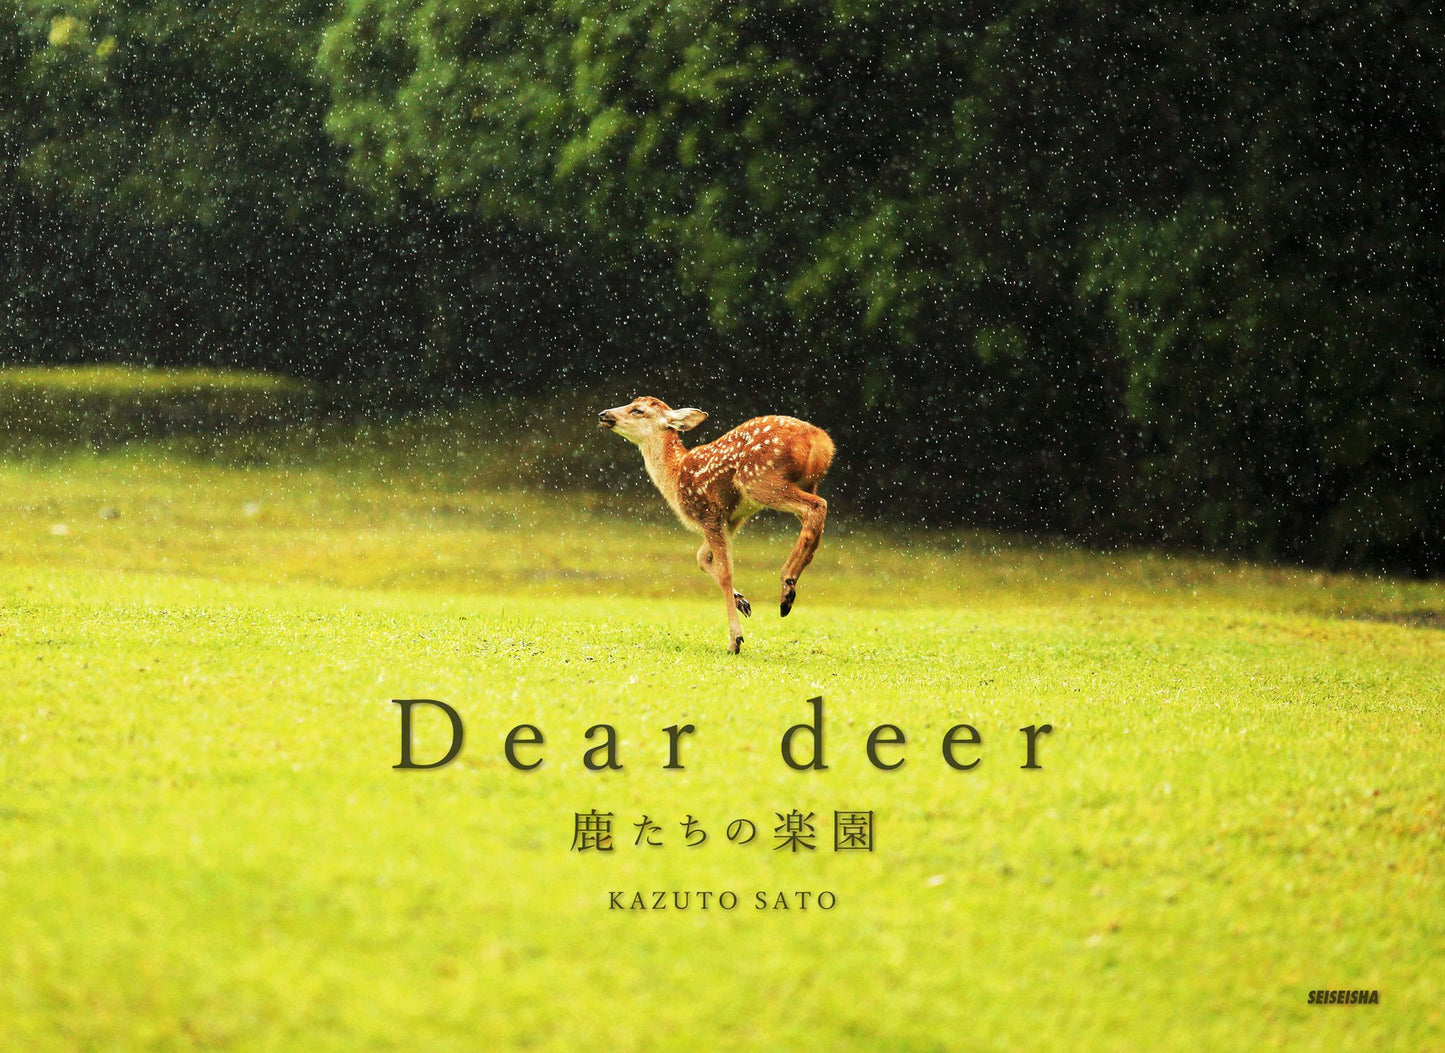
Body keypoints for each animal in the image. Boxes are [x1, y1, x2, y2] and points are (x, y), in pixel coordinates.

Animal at [598, 396, 834, 654]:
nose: (604, 414)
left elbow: (724, 573)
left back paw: (787, 584)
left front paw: (735, 640)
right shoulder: (731, 519)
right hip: (803, 482)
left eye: (638, 410)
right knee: (817, 513)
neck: (675, 477)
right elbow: (701, 557)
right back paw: (791, 586)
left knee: (816, 506)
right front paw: (742, 601)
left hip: (761, 480)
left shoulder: (708, 514)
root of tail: (820, 440)